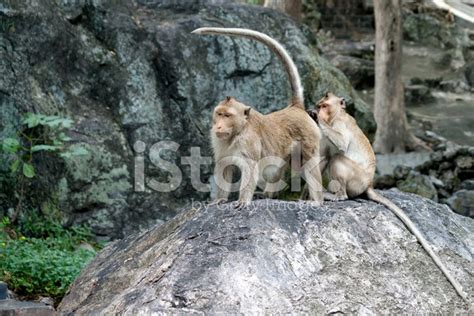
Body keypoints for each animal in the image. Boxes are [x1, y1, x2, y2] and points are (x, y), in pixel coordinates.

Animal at [192, 27, 322, 207]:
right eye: (219, 114)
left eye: (227, 115)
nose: (218, 126)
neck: (238, 131)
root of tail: (295, 108)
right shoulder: (218, 140)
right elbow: (224, 165)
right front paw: (219, 199)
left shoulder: (248, 141)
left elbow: (250, 167)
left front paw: (243, 200)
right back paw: (269, 194)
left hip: (309, 137)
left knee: (308, 163)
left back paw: (317, 201)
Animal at [312, 92, 470, 304]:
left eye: (324, 106)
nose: (317, 111)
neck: (336, 116)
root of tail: (369, 184)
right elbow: (324, 157)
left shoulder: (339, 125)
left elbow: (342, 144)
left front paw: (316, 119)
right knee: (332, 158)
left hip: (357, 180)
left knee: (338, 159)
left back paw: (339, 196)